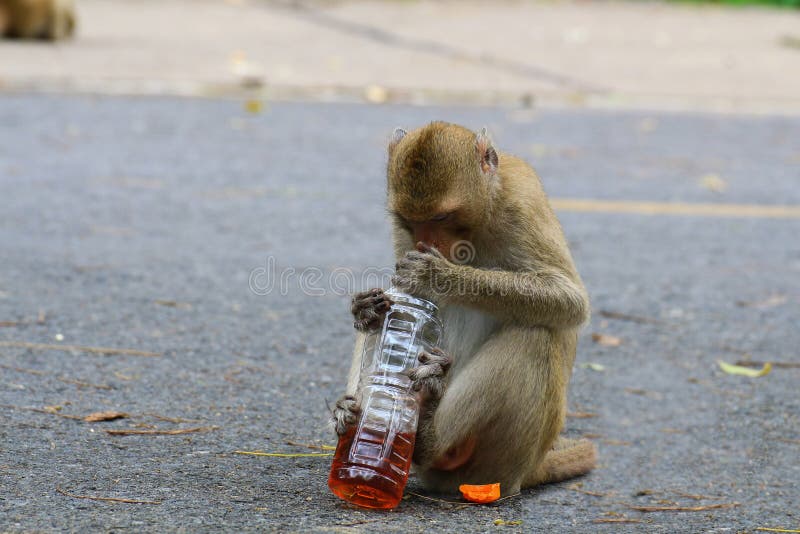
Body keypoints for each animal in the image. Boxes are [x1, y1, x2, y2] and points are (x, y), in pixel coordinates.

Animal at [330, 121, 592, 498]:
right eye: (409, 219)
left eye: (442, 216)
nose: (426, 242)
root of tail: (531, 469)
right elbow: (395, 301)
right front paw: (365, 310)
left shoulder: (522, 204)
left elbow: (568, 299)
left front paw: (436, 276)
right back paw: (357, 409)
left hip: (499, 465)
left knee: (535, 334)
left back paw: (430, 438)